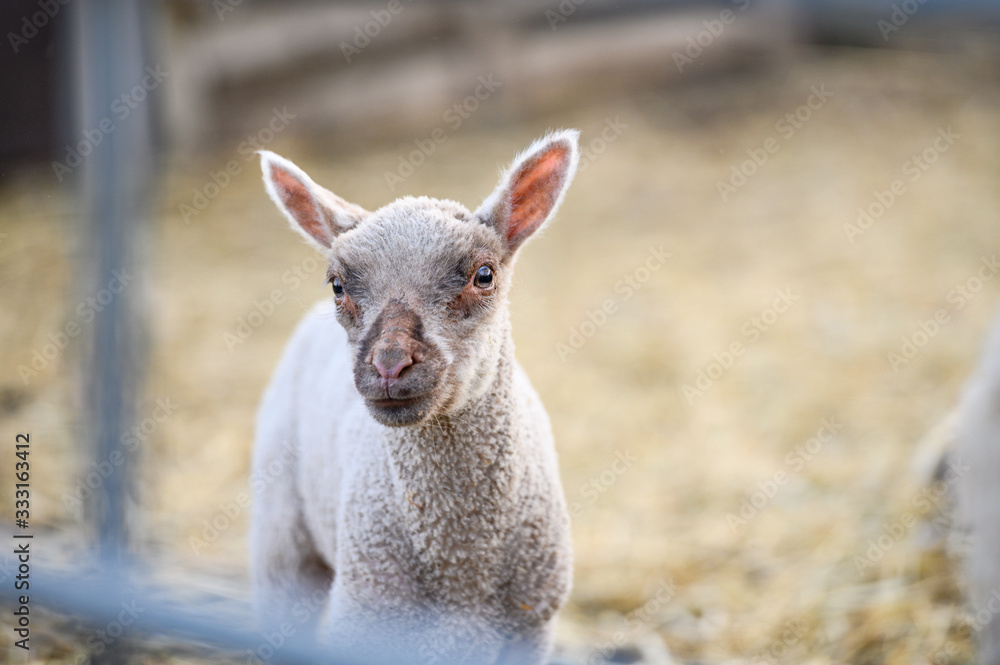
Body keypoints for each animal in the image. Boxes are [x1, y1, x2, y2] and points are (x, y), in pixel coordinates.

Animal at [250, 130, 579, 665]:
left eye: (484, 275)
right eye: (338, 285)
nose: (388, 364)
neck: (461, 566)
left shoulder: (531, 625)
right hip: (281, 539)